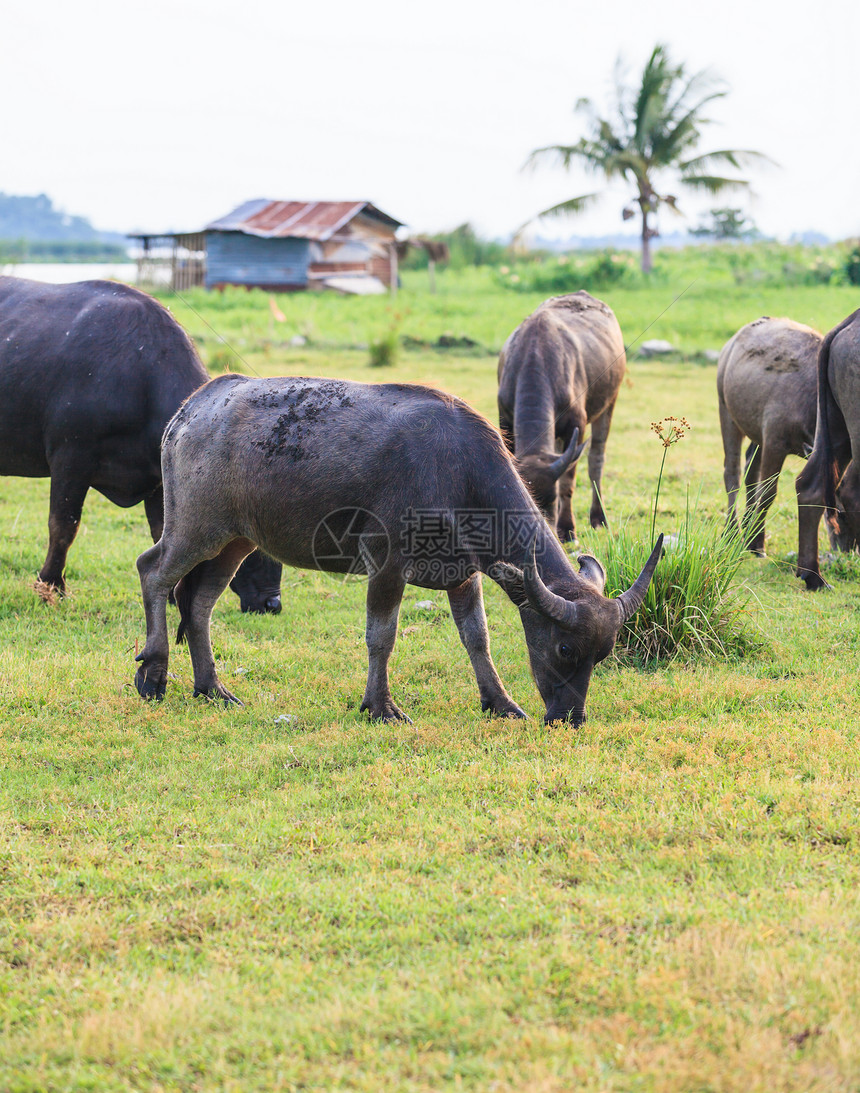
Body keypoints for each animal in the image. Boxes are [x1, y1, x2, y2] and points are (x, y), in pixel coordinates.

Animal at [0, 273, 281, 612]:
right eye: (252, 542)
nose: (272, 603)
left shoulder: (159, 481)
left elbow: (162, 532)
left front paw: (170, 594)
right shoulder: (70, 459)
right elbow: (63, 525)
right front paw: (52, 585)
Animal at [134, 375, 664, 725]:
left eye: (603, 655)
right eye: (565, 647)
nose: (570, 716)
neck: (457, 473)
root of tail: (189, 411)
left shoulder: (463, 574)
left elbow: (477, 638)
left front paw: (502, 703)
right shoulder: (386, 566)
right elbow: (381, 637)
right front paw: (381, 707)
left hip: (236, 539)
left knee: (199, 602)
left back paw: (213, 688)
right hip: (195, 527)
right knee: (153, 571)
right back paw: (153, 674)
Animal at [498, 292, 625, 544]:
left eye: (551, 500)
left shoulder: (576, 425)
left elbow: (568, 479)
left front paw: (567, 529)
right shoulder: (504, 417)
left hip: (609, 403)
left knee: (596, 459)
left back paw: (599, 518)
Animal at [721, 316, 821, 555]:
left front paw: (752, 538)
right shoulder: (775, 442)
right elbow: (767, 493)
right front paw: (757, 542)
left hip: (757, 434)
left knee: (750, 469)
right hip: (727, 413)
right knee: (732, 473)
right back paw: (731, 532)